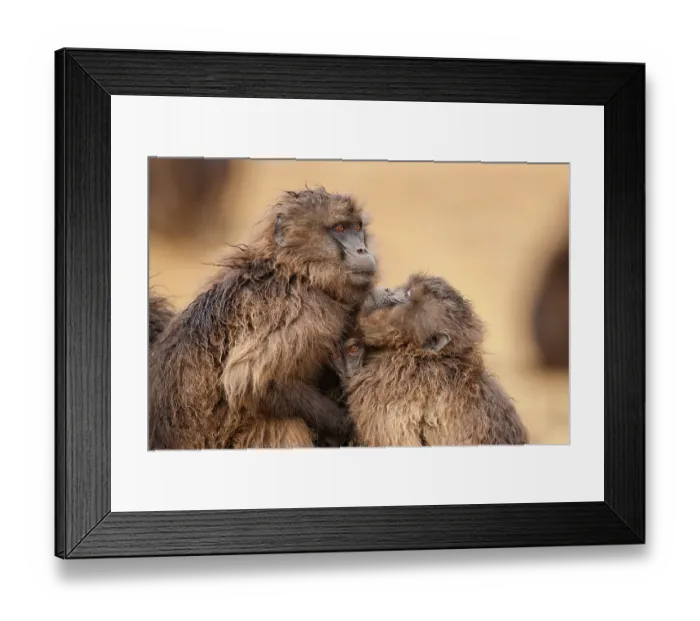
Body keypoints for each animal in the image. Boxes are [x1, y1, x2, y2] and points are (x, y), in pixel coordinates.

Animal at [148, 187, 378, 451]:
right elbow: (248, 382)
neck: (297, 270)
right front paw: (342, 423)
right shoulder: (300, 310)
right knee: (281, 422)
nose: (363, 250)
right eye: (340, 228)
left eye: (357, 227)